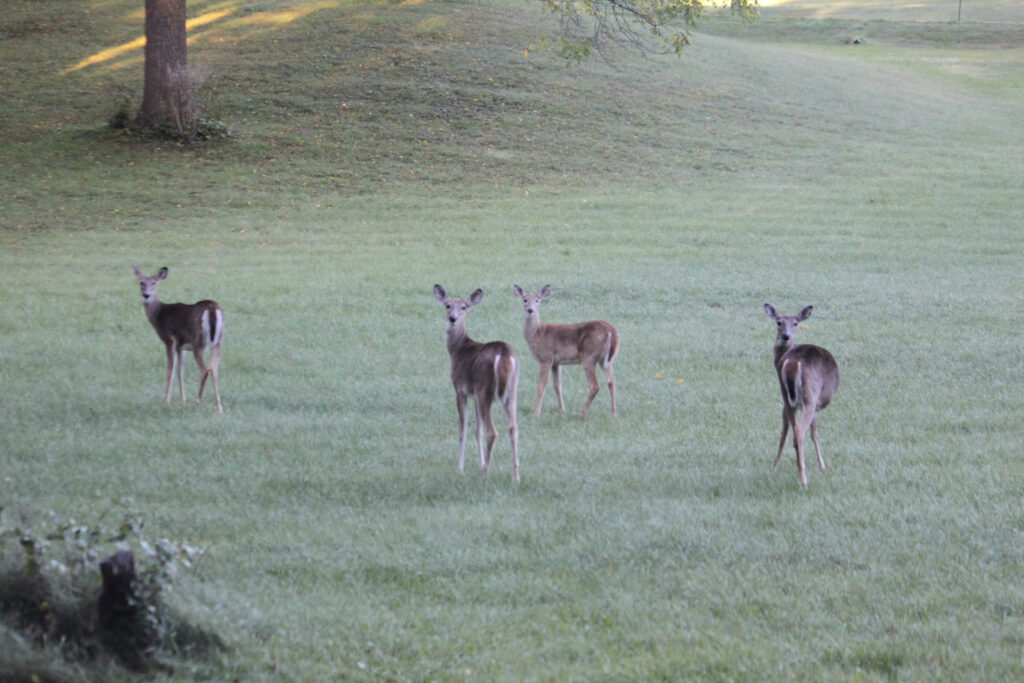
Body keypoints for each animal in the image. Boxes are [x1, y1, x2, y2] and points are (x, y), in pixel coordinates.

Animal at [132, 266, 224, 413]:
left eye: (154, 283)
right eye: (141, 282)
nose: (146, 295)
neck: (159, 315)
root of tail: (212, 309)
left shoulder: (170, 340)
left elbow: (170, 370)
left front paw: (166, 401)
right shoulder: (182, 346)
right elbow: (180, 370)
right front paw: (183, 400)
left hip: (198, 342)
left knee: (205, 370)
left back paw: (197, 404)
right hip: (217, 342)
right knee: (214, 369)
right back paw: (219, 408)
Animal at [434, 285, 520, 483]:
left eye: (464, 307)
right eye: (448, 305)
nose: (453, 318)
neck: (458, 350)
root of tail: (504, 354)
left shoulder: (461, 390)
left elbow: (463, 428)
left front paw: (460, 468)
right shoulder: (473, 394)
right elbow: (477, 430)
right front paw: (479, 463)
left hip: (484, 389)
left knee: (493, 431)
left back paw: (485, 474)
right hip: (511, 390)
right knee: (513, 428)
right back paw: (516, 476)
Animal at [512, 285, 619, 418]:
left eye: (537, 300)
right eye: (525, 299)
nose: (530, 310)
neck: (536, 334)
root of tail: (611, 331)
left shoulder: (545, 358)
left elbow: (541, 386)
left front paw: (536, 413)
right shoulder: (556, 362)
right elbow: (557, 385)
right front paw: (562, 410)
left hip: (589, 356)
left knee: (595, 385)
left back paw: (581, 413)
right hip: (607, 359)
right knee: (611, 382)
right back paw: (613, 413)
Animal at [763, 304, 840, 487]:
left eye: (796, 323)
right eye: (779, 322)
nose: (786, 336)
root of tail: (793, 361)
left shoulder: (786, 403)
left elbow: (784, 432)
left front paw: (774, 468)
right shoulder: (816, 404)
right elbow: (814, 433)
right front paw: (822, 467)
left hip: (787, 397)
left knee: (792, 431)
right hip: (809, 397)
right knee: (800, 431)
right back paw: (804, 480)